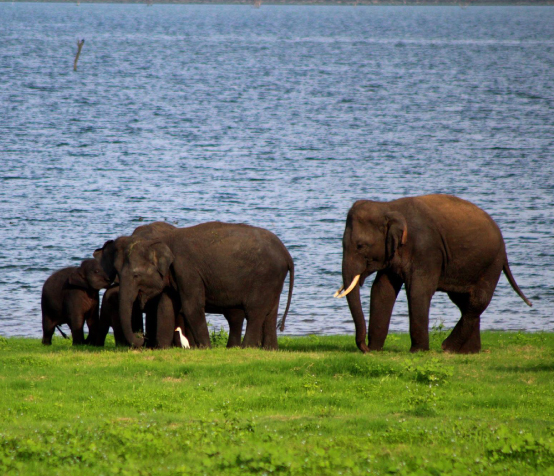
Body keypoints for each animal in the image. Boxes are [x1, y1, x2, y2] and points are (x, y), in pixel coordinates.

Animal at [116, 222, 294, 350]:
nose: (141, 337)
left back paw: (246, 348)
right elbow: (165, 308)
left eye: (136, 275)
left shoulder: (187, 270)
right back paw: (270, 349)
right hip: (274, 279)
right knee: (270, 312)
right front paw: (163, 349)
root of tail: (287, 254)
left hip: (264, 276)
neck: (163, 240)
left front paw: (206, 348)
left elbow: (191, 307)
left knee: (255, 311)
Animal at [332, 193, 532, 354]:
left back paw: (448, 348)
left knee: (477, 301)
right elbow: (382, 290)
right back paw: (467, 351)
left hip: (491, 263)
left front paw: (417, 352)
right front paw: (375, 350)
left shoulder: (426, 250)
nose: (364, 348)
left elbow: (418, 291)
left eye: (360, 246)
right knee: (463, 301)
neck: (388, 206)